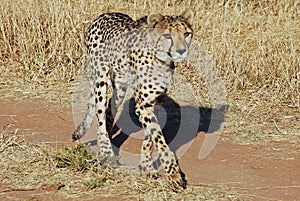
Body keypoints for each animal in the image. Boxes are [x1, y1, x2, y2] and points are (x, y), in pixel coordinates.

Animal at [72, 9, 195, 188]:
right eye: (167, 35)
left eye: (186, 34)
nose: (181, 51)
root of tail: (104, 15)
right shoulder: (143, 104)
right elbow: (159, 139)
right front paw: (173, 174)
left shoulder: (155, 101)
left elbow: (151, 136)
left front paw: (146, 167)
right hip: (101, 79)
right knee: (100, 112)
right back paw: (106, 150)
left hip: (120, 88)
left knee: (109, 109)